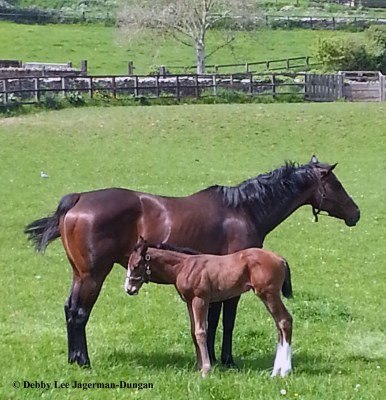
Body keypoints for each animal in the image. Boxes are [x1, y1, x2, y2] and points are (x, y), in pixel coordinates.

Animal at [126, 238, 292, 378]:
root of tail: (280, 259)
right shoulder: (189, 302)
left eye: (135, 266)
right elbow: (193, 331)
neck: (184, 266)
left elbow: (201, 332)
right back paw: (276, 372)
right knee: (279, 324)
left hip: (268, 294)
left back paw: (285, 371)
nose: (129, 289)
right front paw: (199, 366)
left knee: (285, 320)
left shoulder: (200, 300)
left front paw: (206, 369)